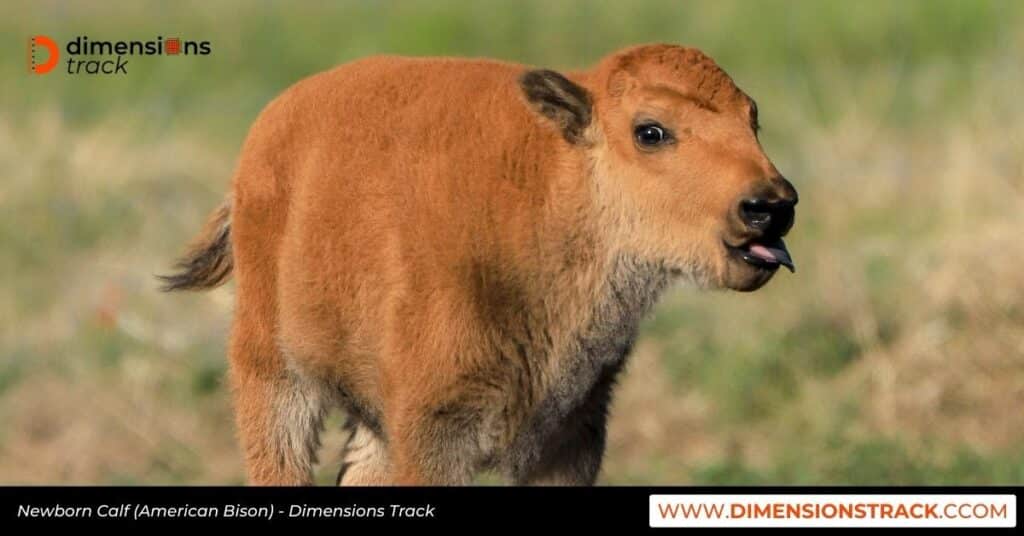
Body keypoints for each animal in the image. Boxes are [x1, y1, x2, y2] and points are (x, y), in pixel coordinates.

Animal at [161, 43, 798, 485]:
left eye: (752, 118)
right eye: (650, 131)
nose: (771, 205)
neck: (552, 188)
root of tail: (266, 135)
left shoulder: (570, 436)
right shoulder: (435, 431)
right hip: (273, 376)